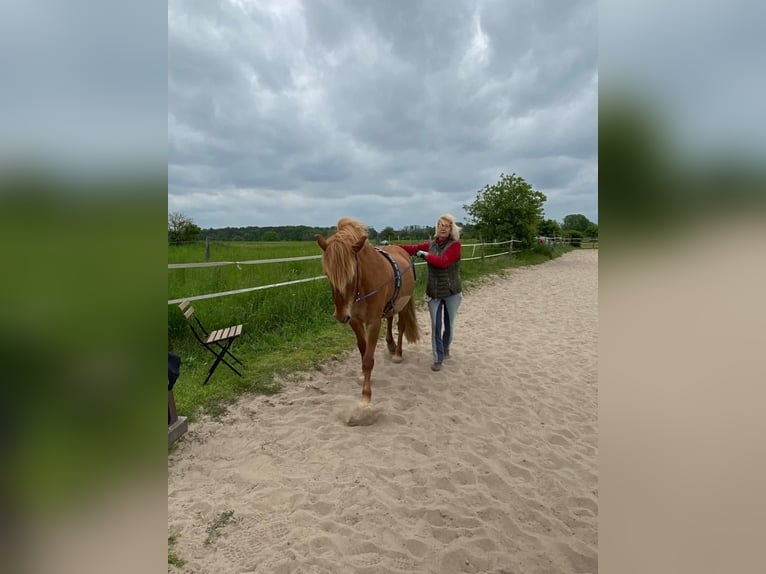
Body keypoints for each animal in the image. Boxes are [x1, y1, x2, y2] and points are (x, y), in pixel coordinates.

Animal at [316, 219, 420, 404]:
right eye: (327, 274)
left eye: (351, 274)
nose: (340, 316)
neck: (362, 288)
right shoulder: (355, 321)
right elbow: (363, 351)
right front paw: (362, 375)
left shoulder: (373, 323)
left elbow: (368, 359)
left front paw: (366, 395)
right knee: (390, 319)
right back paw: (391, 345)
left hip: (403, 305)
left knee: (400, 327)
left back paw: (397, 353)